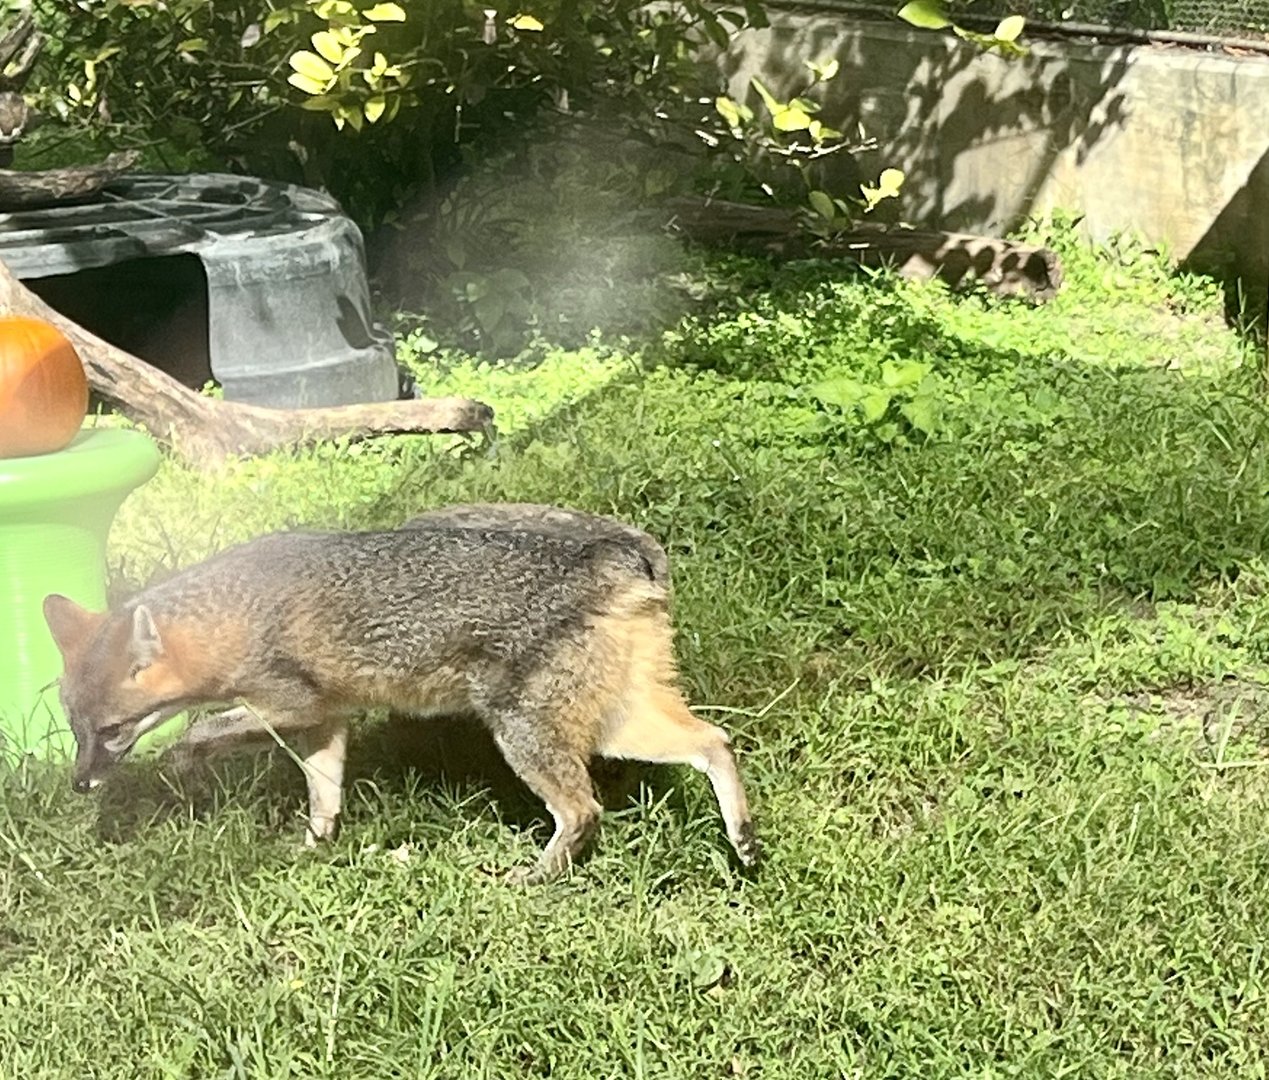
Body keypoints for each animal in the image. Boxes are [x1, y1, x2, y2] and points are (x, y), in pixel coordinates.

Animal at [42, 520, 759, 883]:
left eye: (111, 731)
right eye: (76, 729)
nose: (79, 783)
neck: (237, 612)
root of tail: (617, 547)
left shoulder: (290, 705)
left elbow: (200, 730)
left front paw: (186, 763)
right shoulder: (326, 722)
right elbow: (323, 796)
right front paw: (311, 851)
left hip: (524, 730)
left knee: (584, 811)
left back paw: (532, 878)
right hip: (615, 722)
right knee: (714, 741)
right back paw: (744, 839)